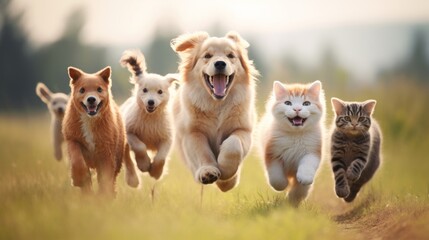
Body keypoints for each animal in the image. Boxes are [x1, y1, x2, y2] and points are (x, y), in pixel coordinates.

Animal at [62, 66, 139, 195]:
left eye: (99, 89)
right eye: (82, 90)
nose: (91, 99)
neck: (89, 120)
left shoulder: (106, 150)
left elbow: (105, 178)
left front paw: (104, 195)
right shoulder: (72, 139)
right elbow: (77, 159)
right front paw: (79, 179)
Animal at [118, 49, 177, 180]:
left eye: (160, 92)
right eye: (144, 90)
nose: (151, 102)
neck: (150, 117)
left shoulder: (167, 137)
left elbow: (161, 157)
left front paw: (156, 172)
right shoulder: (129, 132)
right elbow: (140, 147)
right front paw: (144, 165)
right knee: (127, 159)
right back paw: (133, 180)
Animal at [171, 31, 258, 191]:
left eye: (230, 55)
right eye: (207, 56)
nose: (220, 63)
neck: (217, 104)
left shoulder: (243, 129)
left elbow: (233, 146)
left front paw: (226, 175)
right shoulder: (192, 132)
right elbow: (202, 152)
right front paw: (208, 172)